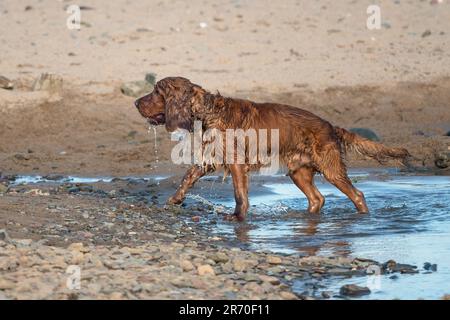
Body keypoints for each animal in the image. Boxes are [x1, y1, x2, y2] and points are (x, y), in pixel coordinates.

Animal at [134, 77, 412, 221]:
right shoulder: (212, 157)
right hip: (298, 171)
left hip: (330, 168)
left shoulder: (236, 162)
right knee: (317, 198)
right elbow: (187, 177)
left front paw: (238, 218)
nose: (135, 102)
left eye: (156, 91)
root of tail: (331, 126)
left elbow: (239, 195)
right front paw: (174, 200)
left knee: (357, 195)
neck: (209, 112)